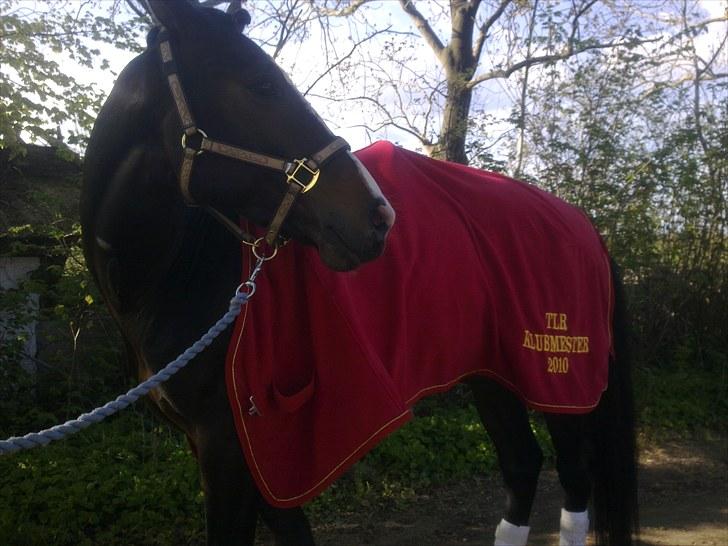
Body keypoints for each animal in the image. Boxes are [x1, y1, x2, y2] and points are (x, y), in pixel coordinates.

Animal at [80, 2, 637, 545]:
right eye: (262, 85)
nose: (379, 215)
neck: (175, 279)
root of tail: (581, 223)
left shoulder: (231, 449)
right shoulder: (253, 454)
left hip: (559, 382)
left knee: (573, 478)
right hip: (492, 374)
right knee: (522, 466)